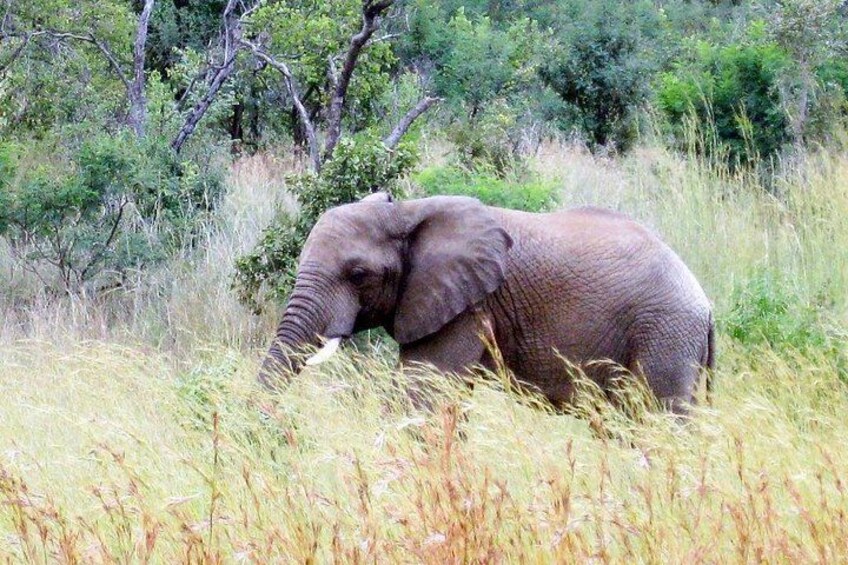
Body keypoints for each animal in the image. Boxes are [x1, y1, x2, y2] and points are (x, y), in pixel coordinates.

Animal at [259, 192, 715, 415]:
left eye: (357, 275)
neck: (407, 210)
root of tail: (707, 306)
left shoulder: (467, 307)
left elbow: (421, 397)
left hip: (665, 335)